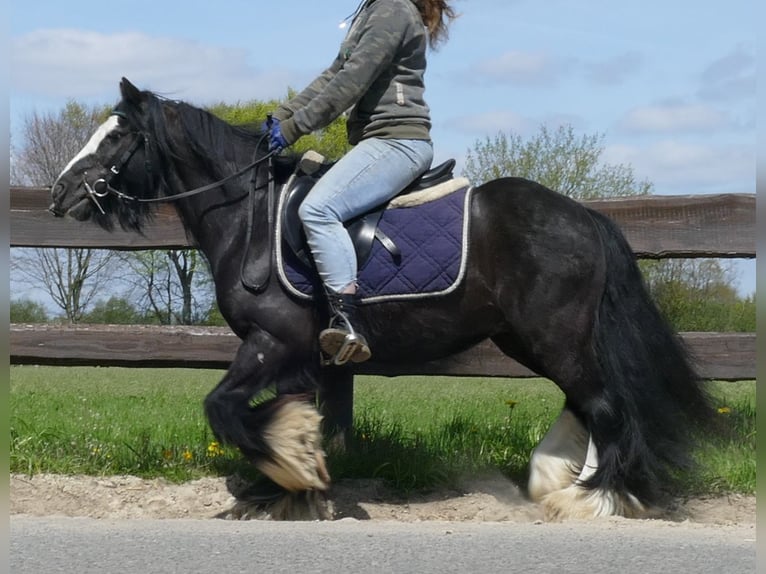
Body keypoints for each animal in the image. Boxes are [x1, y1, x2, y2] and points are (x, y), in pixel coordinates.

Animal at [51, 77, 716, 520]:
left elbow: (224, 408)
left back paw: (587, 498)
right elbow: (290, 412)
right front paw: (298, 483)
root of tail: (583, 217)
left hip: (553, 336)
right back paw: (553, 479)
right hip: (527, 339)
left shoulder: (272, 341)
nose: (60, 194)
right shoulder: (297, 356)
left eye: (118, 136)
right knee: (586, 401)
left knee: (603, 404)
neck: (250, 218)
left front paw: (291, 471)